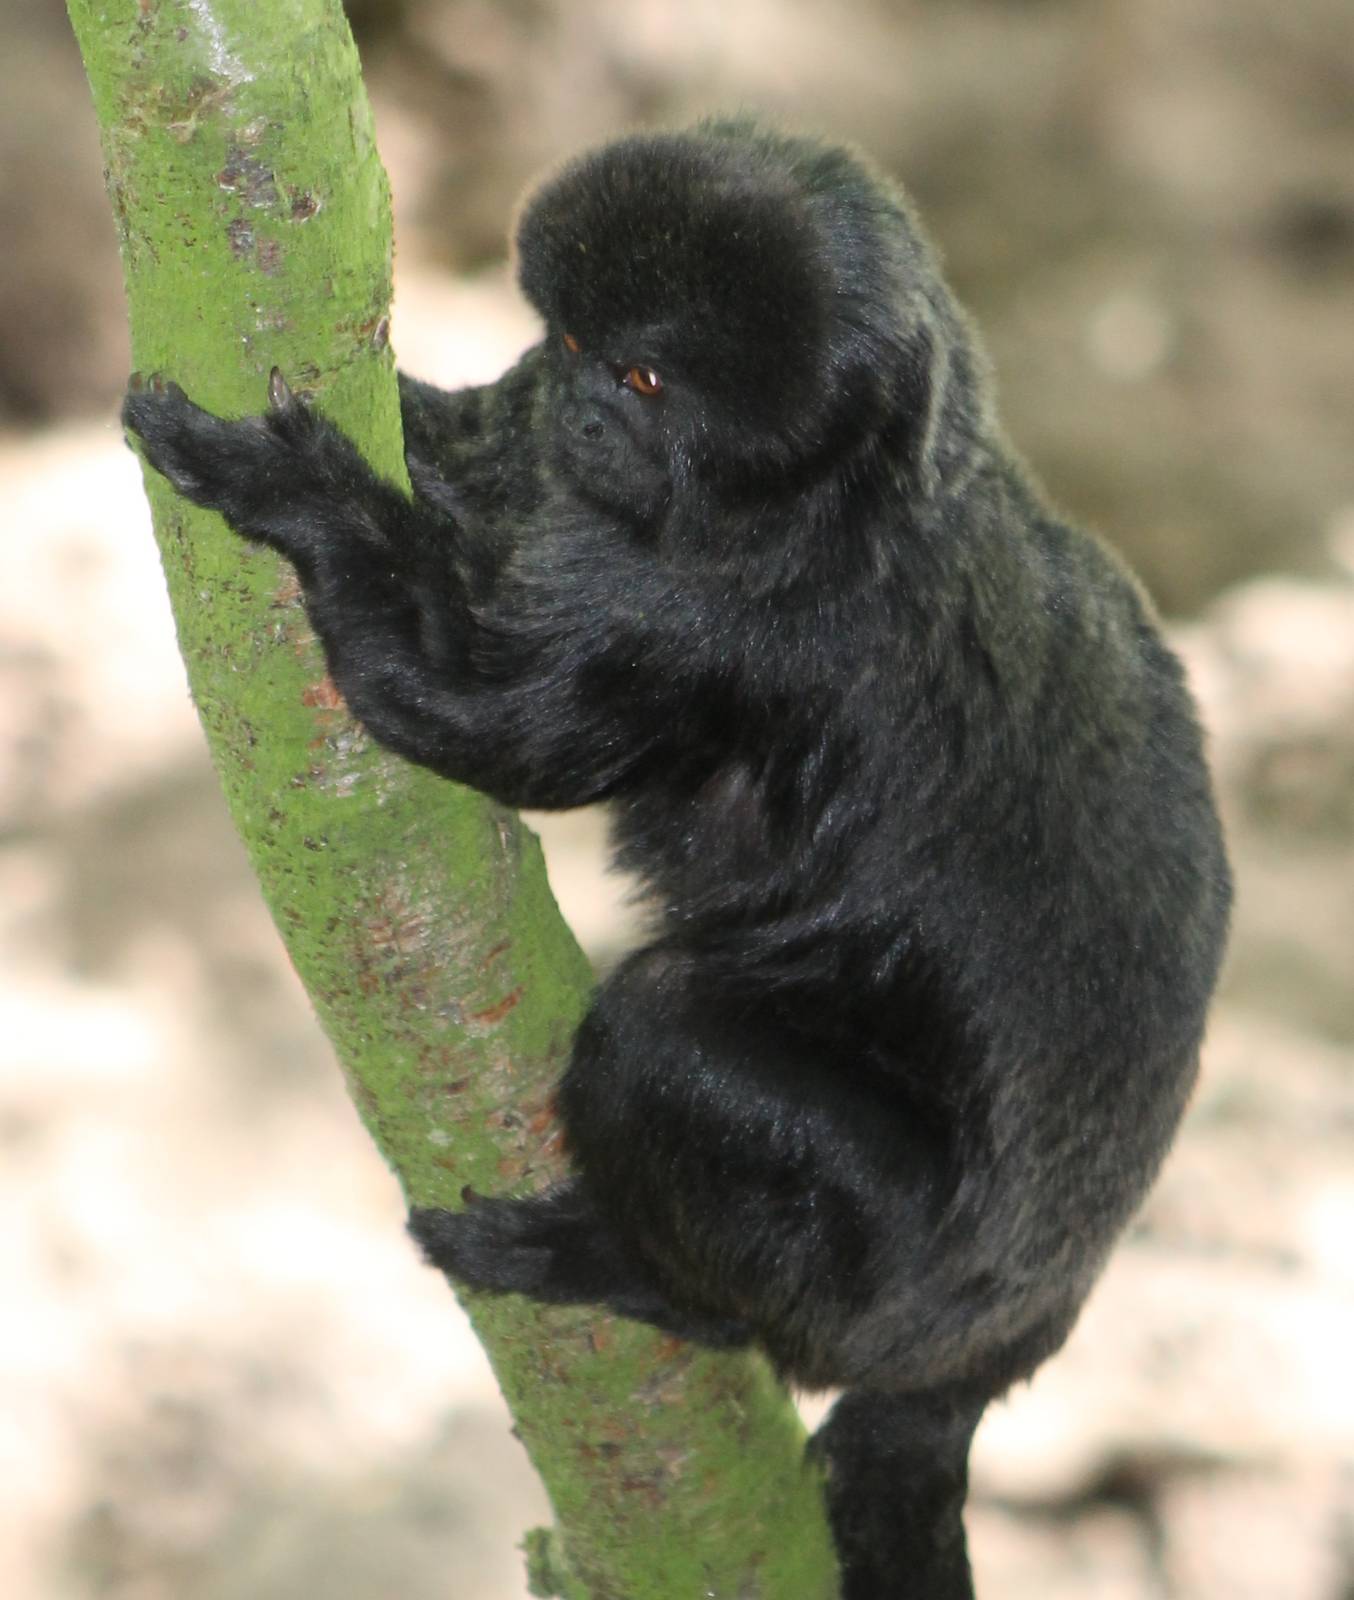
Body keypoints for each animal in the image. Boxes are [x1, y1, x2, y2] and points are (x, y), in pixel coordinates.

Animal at [122, 119, 1232, 1599]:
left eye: (646, 378)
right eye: (574, 346)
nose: (583, 410)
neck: (815, 511)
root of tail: (995, 1352)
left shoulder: (724, 629)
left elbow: (482, 728)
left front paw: (298, 497)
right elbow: (483, 468)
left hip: (872, 1277)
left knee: (662, 1033)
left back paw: (642, 1282)